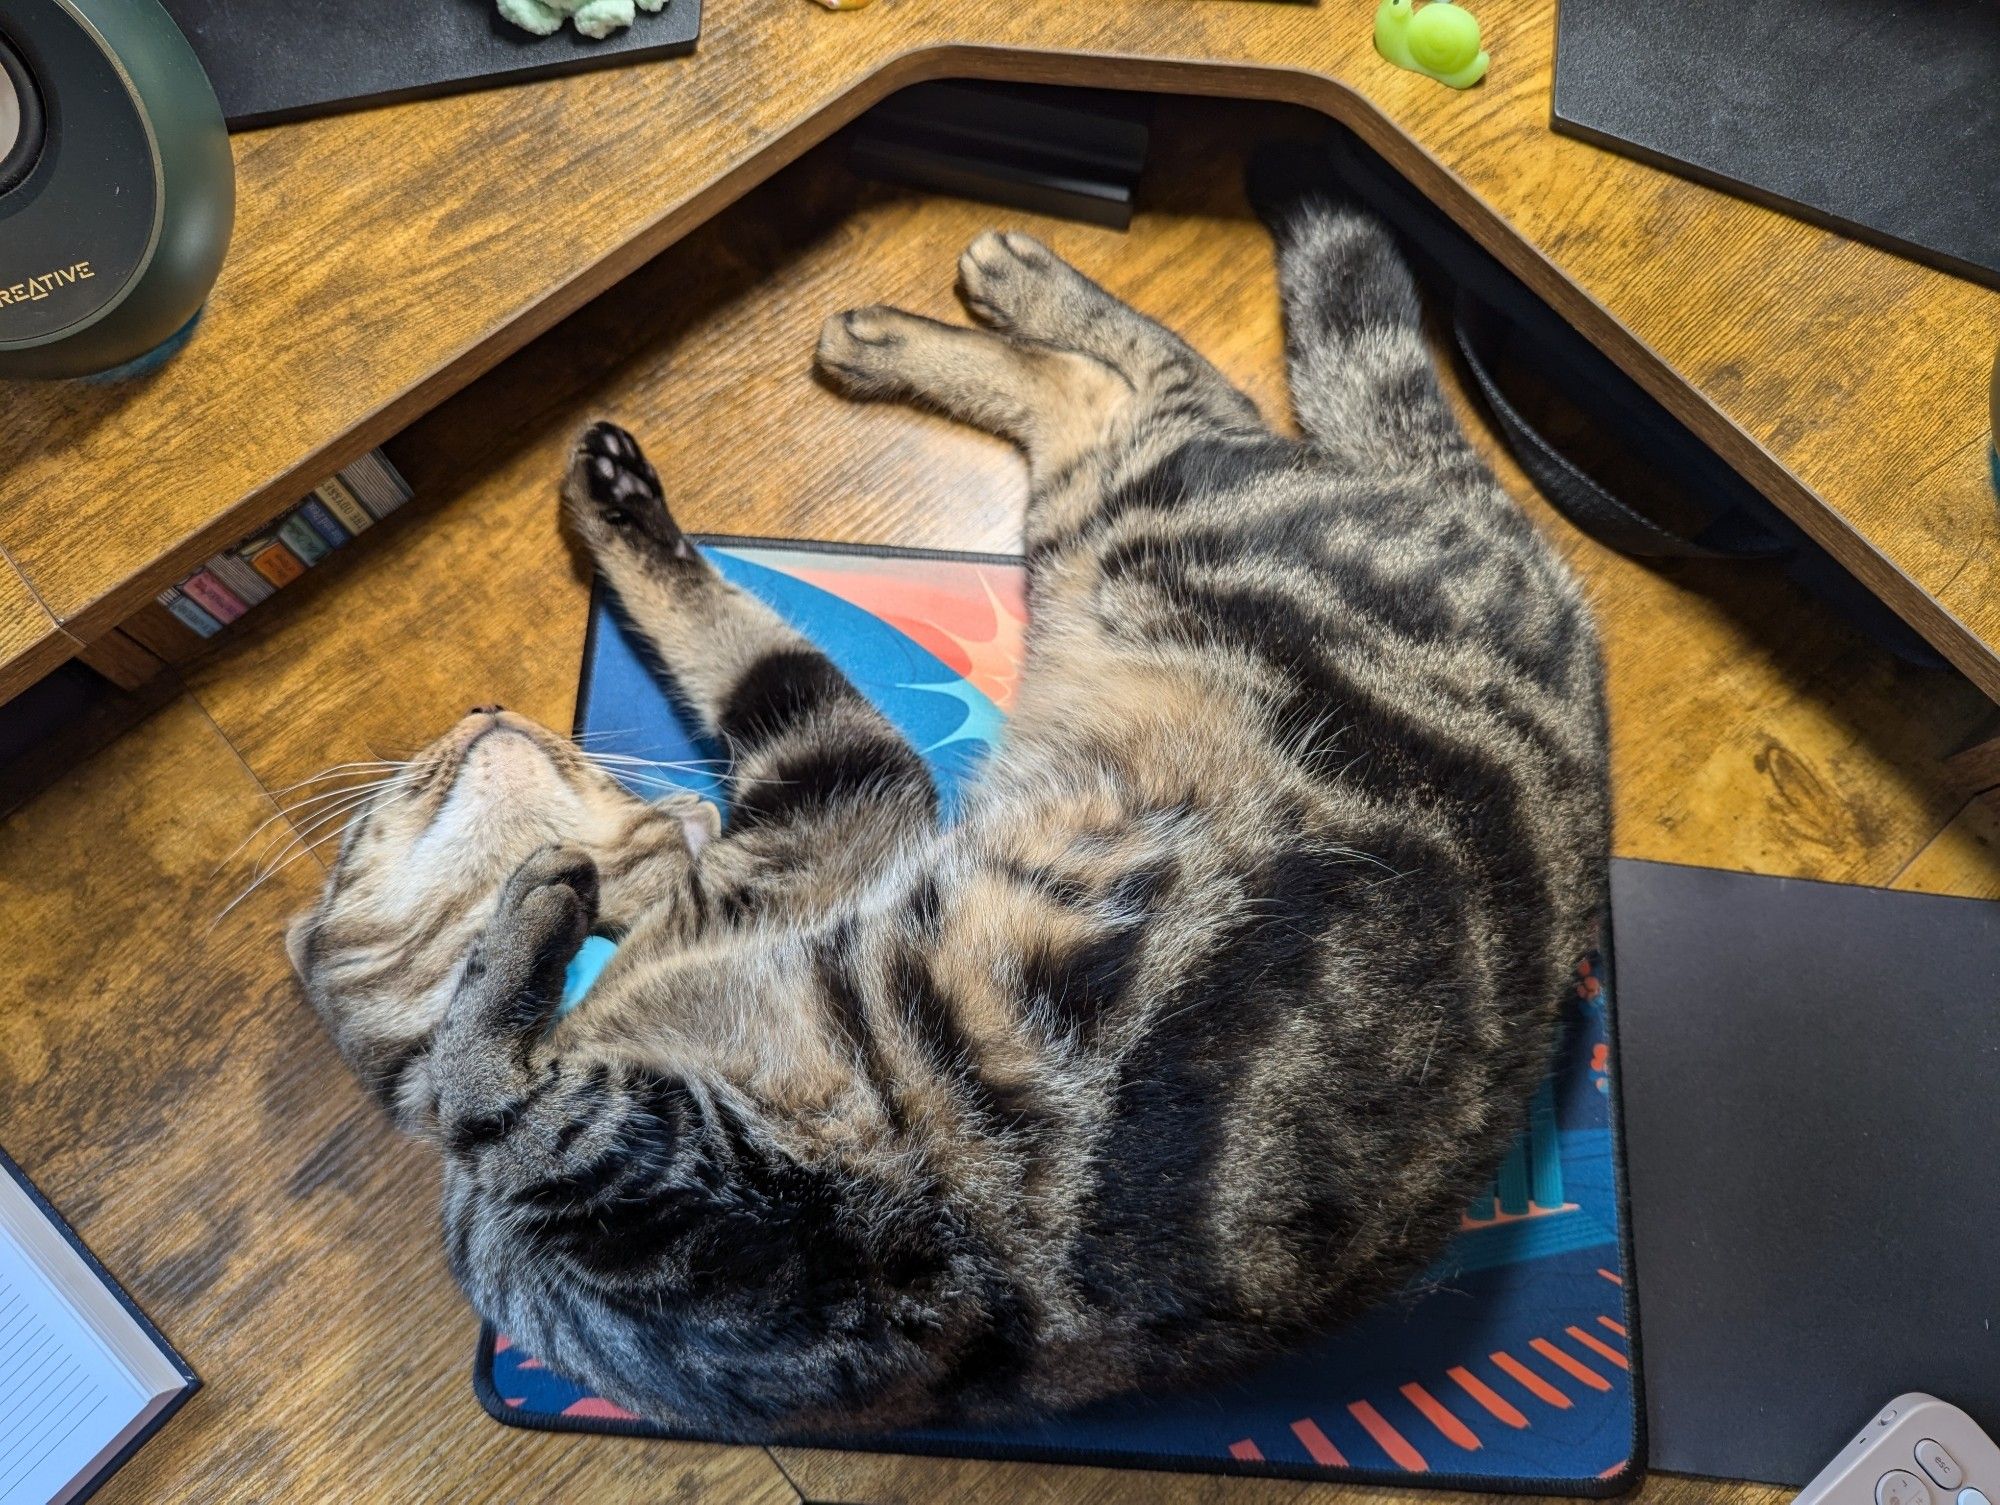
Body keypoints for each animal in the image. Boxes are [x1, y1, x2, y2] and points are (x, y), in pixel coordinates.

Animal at [290, 176, 1608, 1432]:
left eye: (371, 815)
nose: (477, 711)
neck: (628, 947)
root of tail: (1530, 562)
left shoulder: (826, 810)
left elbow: (499, 1062)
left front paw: (615, 514)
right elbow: (491, 1080)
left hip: (1147, 529)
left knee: (1133, 385)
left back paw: (951, 307)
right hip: (1119, 538)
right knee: (1159, 389)